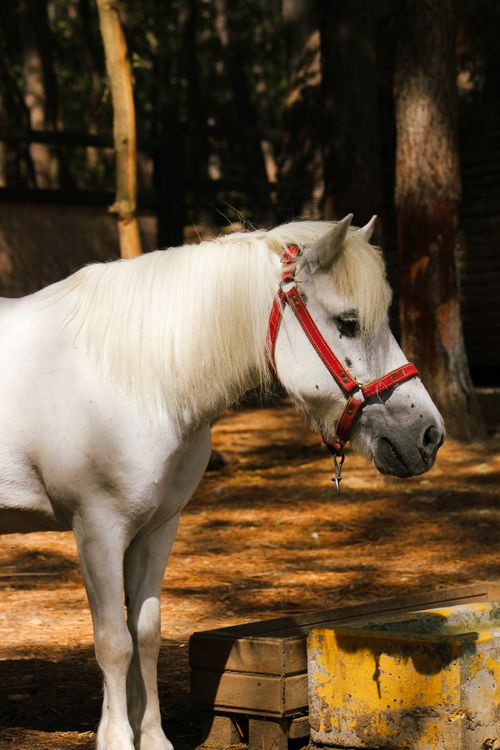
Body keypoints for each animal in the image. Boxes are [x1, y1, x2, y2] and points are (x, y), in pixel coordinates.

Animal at [0, 215, 444, 750]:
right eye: (349, 322)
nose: (429, 434)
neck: (138, 377)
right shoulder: (97, 530)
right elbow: (113, 642)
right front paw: (116, 738)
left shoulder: (156, 529)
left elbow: (145, 634)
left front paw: (152, 737)